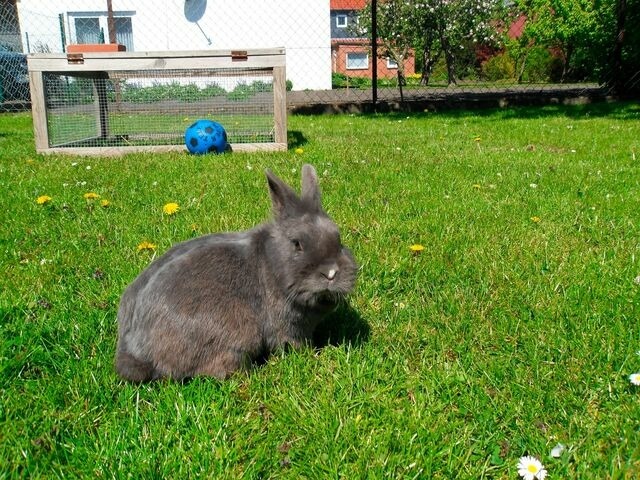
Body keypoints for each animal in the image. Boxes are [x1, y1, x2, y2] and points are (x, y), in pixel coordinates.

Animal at [114, 163, 356, 380]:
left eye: (338, 239)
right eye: (297, 244)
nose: (331, 273)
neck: (270, 262)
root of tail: (135, 351)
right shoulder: (288, 328)